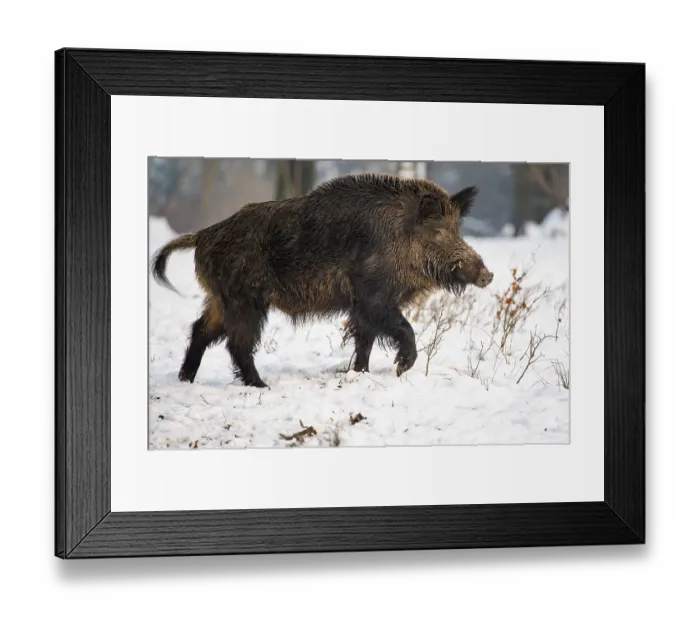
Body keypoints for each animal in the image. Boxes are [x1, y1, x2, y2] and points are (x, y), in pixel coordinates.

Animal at [151, 173, 493, 387]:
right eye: (438, 231)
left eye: (458, 229)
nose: (487, 275)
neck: (400, 235)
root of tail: (203, 235)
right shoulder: (373, 297)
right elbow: (401, 327)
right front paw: (401, 368)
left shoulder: (361, 306)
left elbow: (365, 340)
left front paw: (360, 374)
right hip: (245, 300)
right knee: (237, 344)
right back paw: (261, 386)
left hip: (220, 299)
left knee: (200, 331)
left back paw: (186, 379)